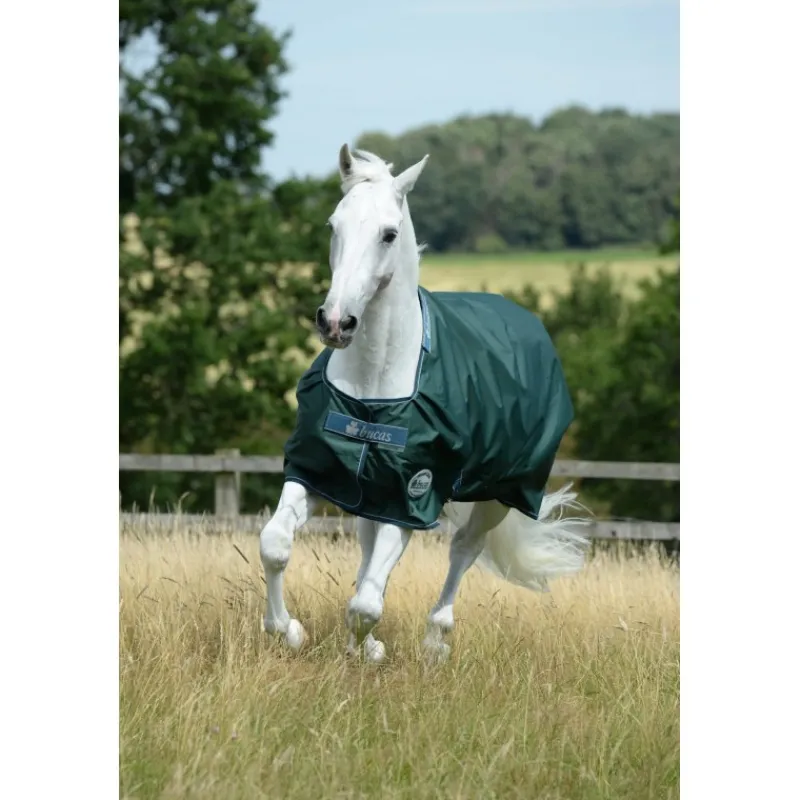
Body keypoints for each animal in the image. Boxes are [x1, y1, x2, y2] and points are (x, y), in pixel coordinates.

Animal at [259, 144, 589, 664]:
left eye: (389, 234)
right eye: (333, 225)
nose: (335, 323)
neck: (374, 387)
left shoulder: (413, 495)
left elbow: (366, 605)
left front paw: (368, 651)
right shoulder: (317, 473)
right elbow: (275, 545)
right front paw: (286, 630)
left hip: (501, 494)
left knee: (463, 550)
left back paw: (436, 641)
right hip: (373, 494)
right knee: (370, 550)